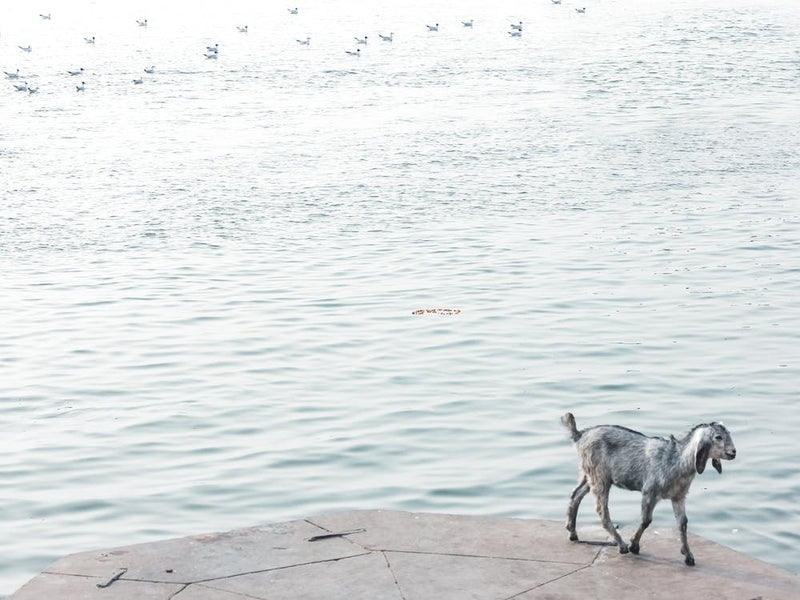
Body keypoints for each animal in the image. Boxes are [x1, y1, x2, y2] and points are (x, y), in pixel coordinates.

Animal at [561, 412, 736, 565]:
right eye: (718, 437)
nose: (733, 452)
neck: (676, 459)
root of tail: (580, 435)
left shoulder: (678, 496)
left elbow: (683, 523)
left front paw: (688, 556)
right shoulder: (649, 491)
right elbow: (646, 520)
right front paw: (634, 545)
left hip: (589, 474)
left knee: (576, 494)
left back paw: (572, 532)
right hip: (600, 477)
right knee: (601, 510)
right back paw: (621, 545)